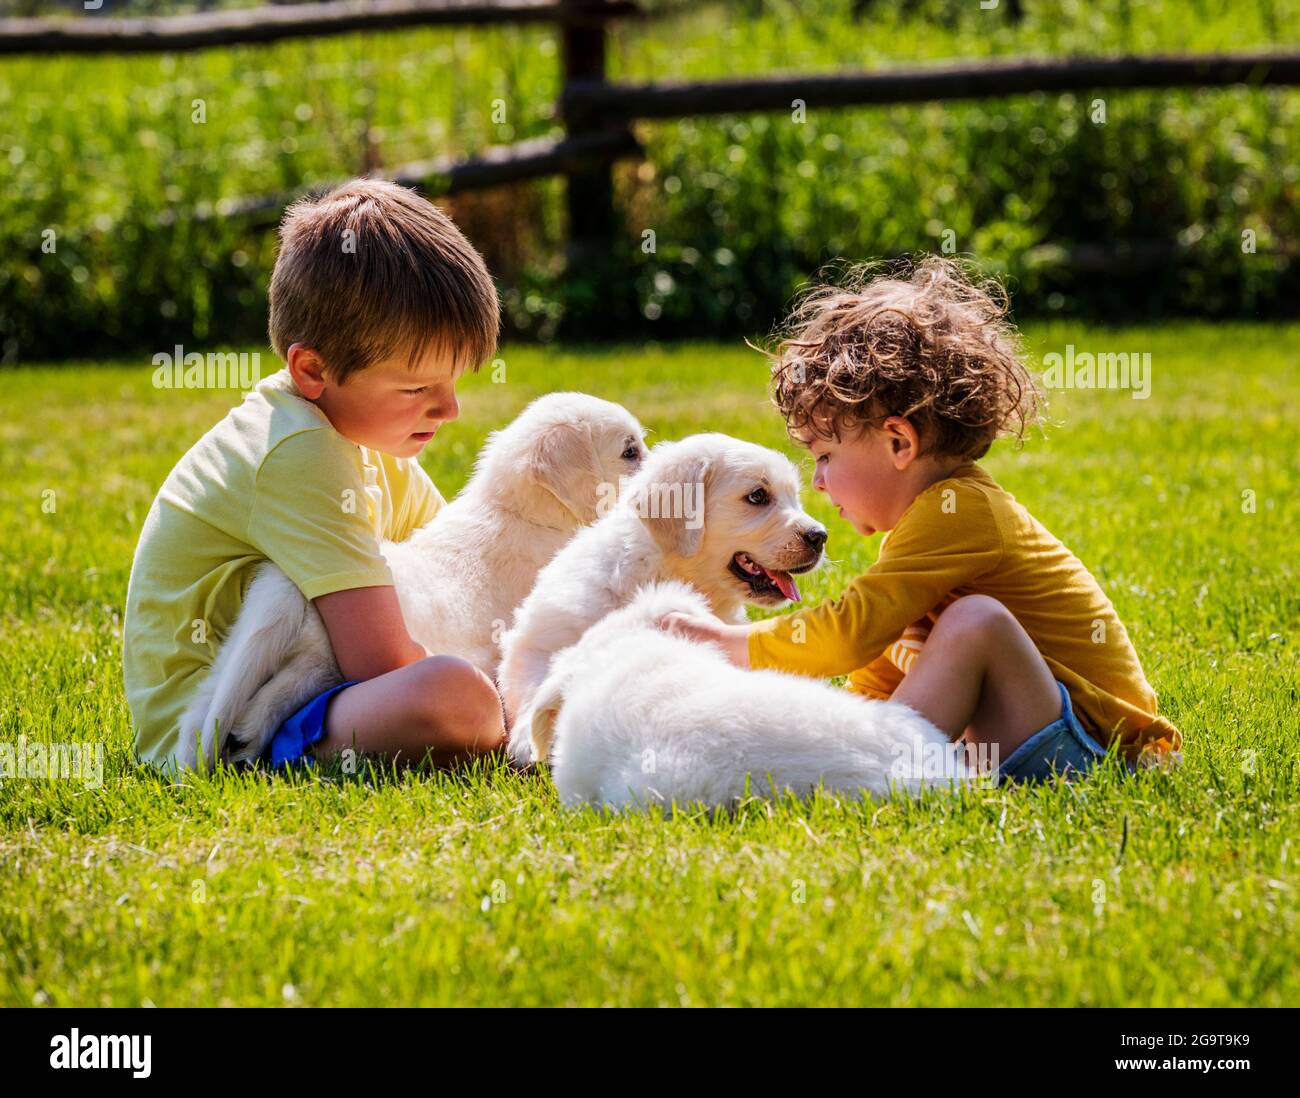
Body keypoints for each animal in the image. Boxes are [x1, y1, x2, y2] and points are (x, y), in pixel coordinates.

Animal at [180, 395, 647, 769]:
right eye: (630, 452)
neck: (527, 512)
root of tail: (290, 587)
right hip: (336, 657)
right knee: (282, 689)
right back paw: (247, 738)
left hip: (244, 646)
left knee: (206, 705)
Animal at [501, 431, 826, 764]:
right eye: (758, 496)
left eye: (794, 496)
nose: (820, 537)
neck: (659, 570)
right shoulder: (539, 639)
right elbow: (534, 682)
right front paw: (526, 742)